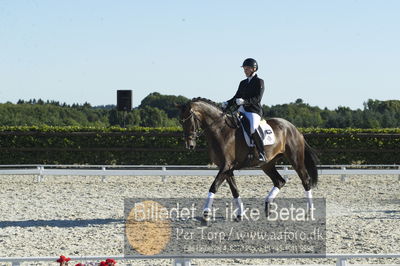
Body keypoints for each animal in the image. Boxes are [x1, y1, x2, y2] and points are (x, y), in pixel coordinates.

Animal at [178, 97, 318, 220]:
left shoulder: (226, 166)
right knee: (279, 181)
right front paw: (240, 214)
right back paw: (267, 207)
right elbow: (234, 190)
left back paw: (309, 212)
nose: (190, 145)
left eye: (190, 120)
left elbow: (214, 187)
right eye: (181, 122)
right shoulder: (227, 168)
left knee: (305, 180)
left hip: (295, 160)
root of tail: (294, 129)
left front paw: (206, 213)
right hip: (267, 164)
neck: (221, 130)